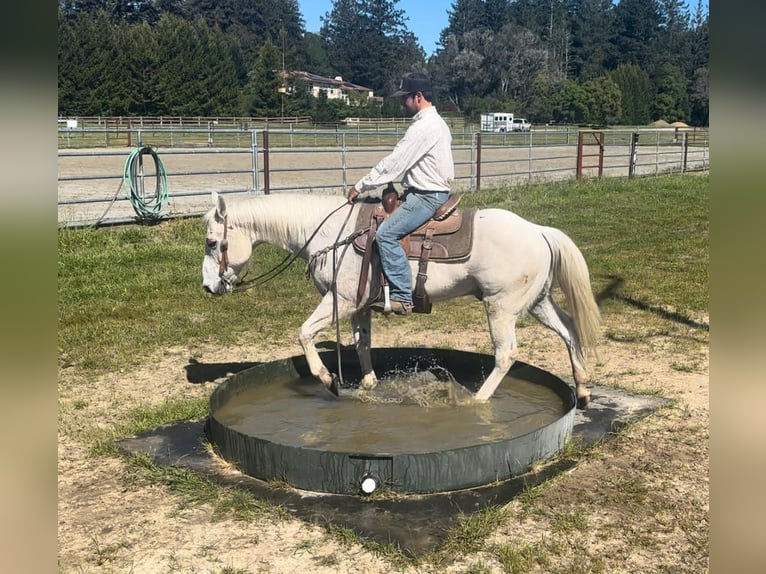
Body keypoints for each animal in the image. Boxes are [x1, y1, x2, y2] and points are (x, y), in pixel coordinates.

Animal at [201, 191, 604, 408]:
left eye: (211, 242)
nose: (208, 287)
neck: (330, 234)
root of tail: (539, 231)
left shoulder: (339, 299)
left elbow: (304, 333)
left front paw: (328, 380)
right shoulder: (358, 305)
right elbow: (362, 345)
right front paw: (366, 386)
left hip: (501, 308)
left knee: (506, 355)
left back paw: (477, 401)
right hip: (537, 303)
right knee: (570, 332)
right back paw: (583, 389)